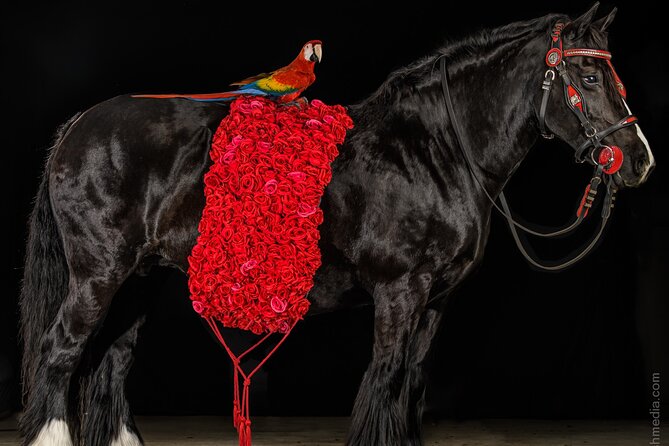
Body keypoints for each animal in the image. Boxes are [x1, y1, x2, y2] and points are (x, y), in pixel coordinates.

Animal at [19, 4, 655, 445]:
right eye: (589, 79)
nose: (638, 159)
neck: (431, 150)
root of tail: (79, 126)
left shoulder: (436, 302)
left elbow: (410, 385)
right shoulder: (400, 292)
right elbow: (386, 380)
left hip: (139, 281)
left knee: (109, 363)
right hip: (98, 275)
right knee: (59, 353)